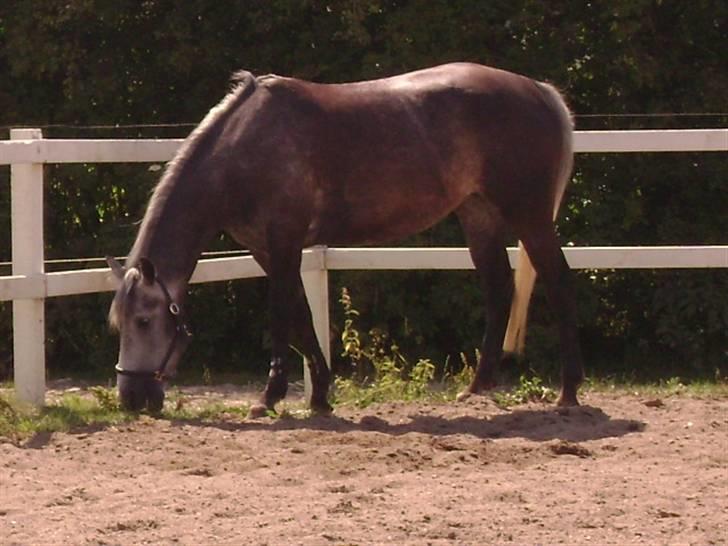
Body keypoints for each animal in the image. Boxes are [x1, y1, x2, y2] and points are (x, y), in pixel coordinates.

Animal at [106, 61, 584, 412]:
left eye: (144, 320)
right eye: (119, 324)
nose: (131, 398)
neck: (244, 151)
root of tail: (539, 90)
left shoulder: (283, 244)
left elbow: (282, 316)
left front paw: (270, 397)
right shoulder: (267, 250)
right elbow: (302, 318)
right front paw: (319, 396)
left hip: (529, 215)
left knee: (559, 282)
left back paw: (568, 392)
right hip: (478, 212)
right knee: (498, 287)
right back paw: (478, 387)